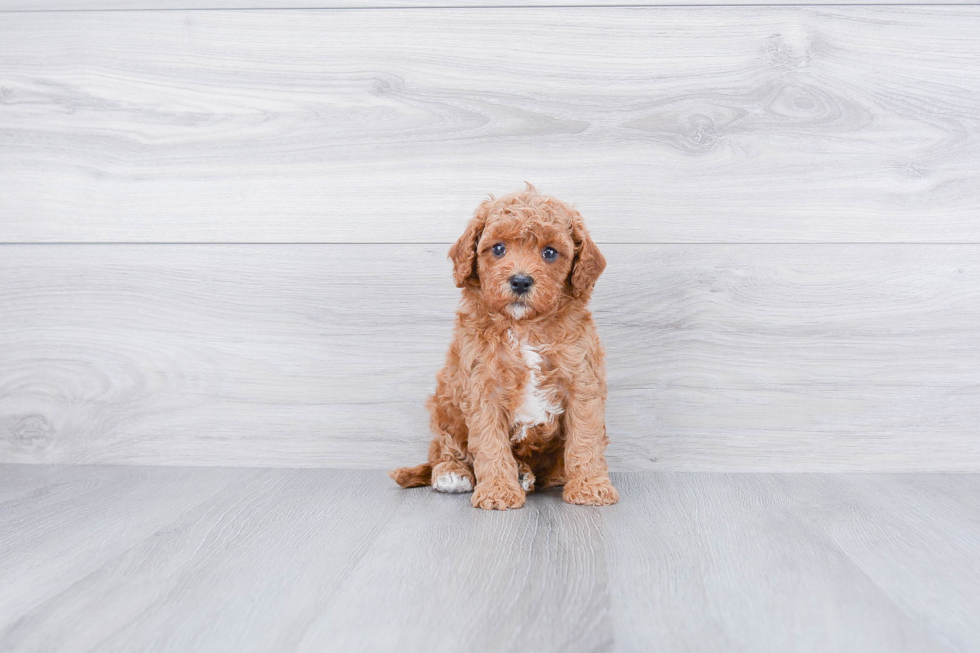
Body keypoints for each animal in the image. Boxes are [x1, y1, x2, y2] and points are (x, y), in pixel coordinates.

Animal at [386, 183, 616, 510]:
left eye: (549, 252)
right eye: (497, 249)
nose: (520, 281)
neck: (524, 327)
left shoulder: (582, 380)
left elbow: (585, 438)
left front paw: (590, 487)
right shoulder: (482, 388)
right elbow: (489, 443)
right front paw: (498, 491)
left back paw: (528, 474)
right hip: (445, 405)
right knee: (443, 449)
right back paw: (453, 473)